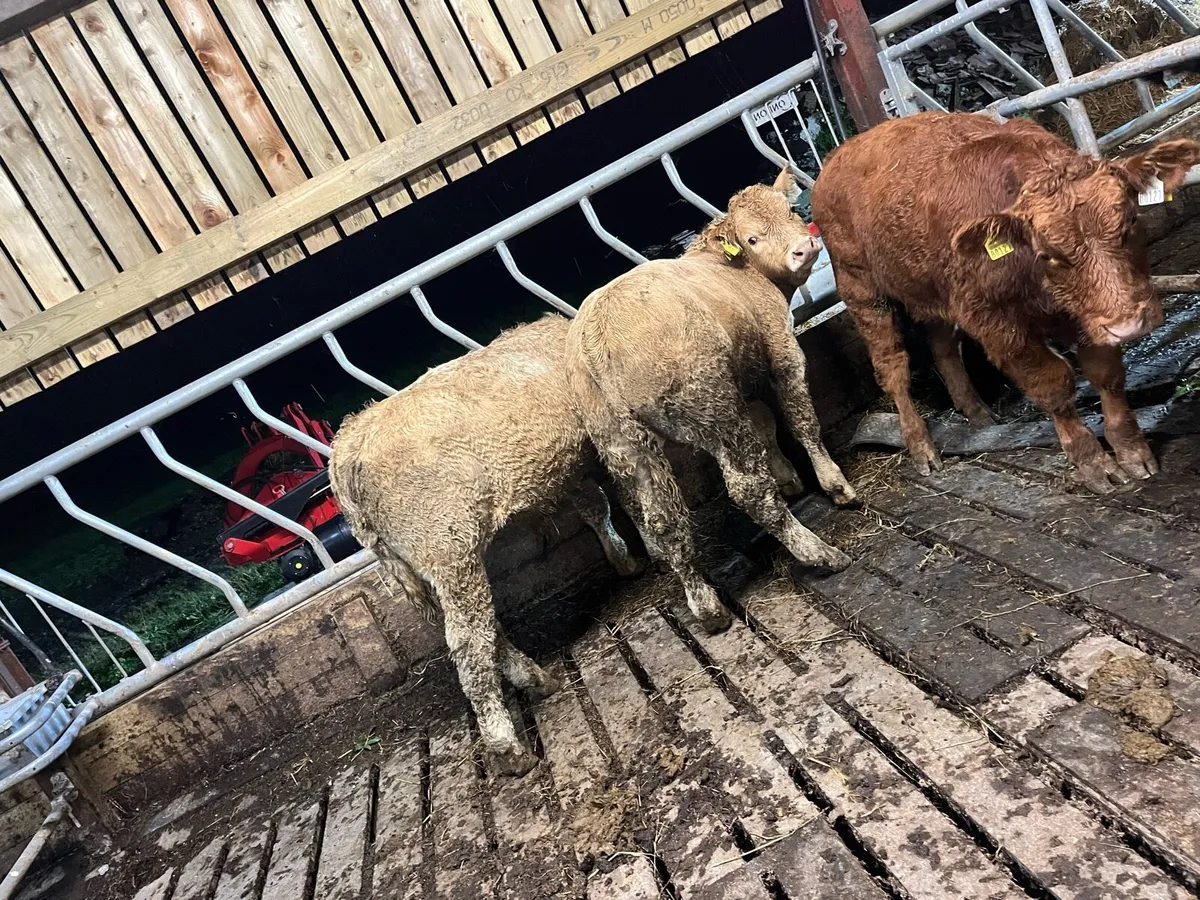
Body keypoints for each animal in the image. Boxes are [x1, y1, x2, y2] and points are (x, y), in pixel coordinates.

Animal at [565, 170, 858, 636]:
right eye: (752, 238)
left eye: (790, 210)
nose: (804, 248)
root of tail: (595, 336)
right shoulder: (780, 349)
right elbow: (800, 419)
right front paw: (833, 484)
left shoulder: (742, 376)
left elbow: (764, 422)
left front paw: (788, 477)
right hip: (712, 410)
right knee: (749, 491)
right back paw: (821, 553)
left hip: (626, 444)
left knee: (664, 522)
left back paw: (706, 607)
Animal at [811, 111, 1200, 493]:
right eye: (1048, 254)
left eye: (1131, 220)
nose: (1130, 324)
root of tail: (839, 155)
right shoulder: (998, 324)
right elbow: (1052, 384)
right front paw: (1092, 462)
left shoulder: (1088, 314)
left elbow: (1107, 374)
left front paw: (1131, 450)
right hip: (862, 289)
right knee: (893, 369)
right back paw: (921, 446)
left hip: (932, 291)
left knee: (943, 348)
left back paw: (978, 415)